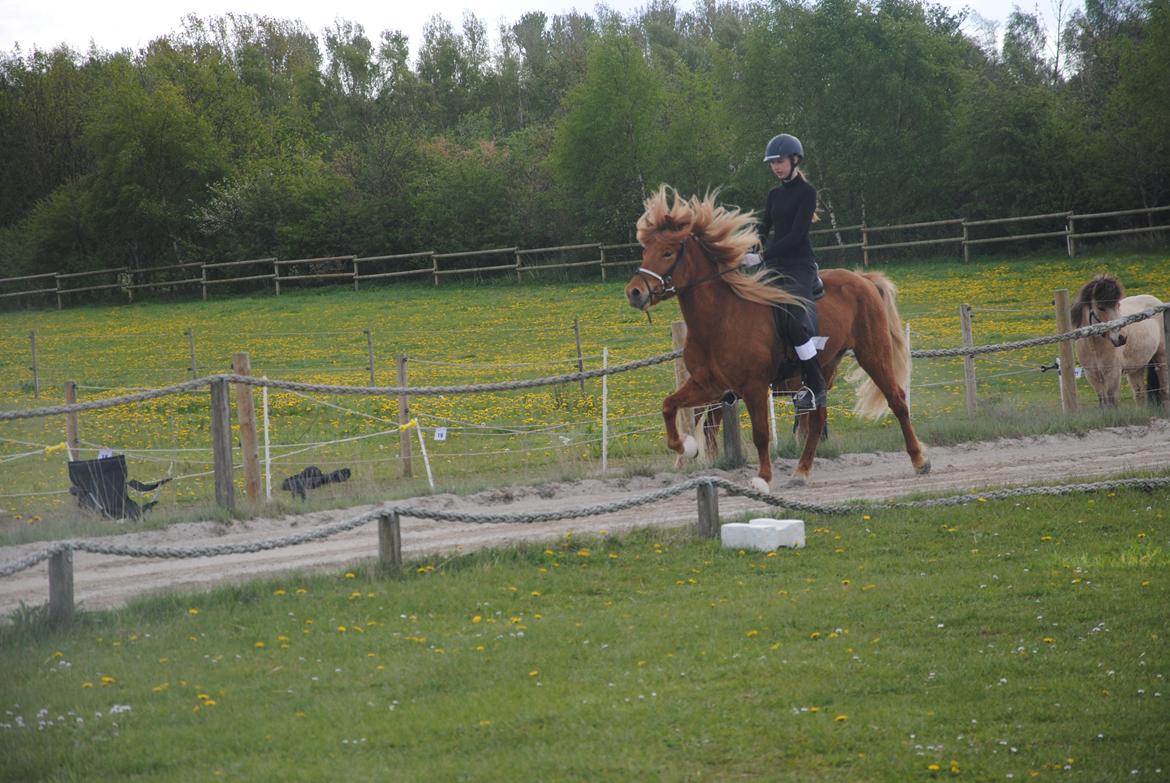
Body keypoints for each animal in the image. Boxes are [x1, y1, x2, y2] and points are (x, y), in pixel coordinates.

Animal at [622, 186, 931, 484]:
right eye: (646, 250)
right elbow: (669, 406)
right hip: (823, 369)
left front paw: (763, 478)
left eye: (667, 252)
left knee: (897, 400)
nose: (634, 292)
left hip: (873, 353)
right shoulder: (709, 385)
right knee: (817, 418)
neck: (720, 319)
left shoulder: (754, 386)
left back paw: (919, 460)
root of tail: (863, 279)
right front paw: (686, 447)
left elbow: (761, 434)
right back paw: (801, 472)